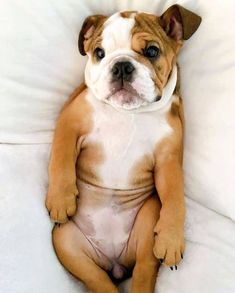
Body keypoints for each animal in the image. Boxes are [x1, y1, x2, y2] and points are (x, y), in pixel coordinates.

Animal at [46, 4, 202, 292]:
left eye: (151, 51)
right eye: (99, 53)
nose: (120, 66)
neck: (130, 113)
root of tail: (115, 261)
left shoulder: (168, 159)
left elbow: (175, 197)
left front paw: (172, 239)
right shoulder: (70, 123)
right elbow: (60, 159)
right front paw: (60, 199)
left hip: (148, 222)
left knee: (143, 268)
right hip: (66, 242)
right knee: (97, 278)